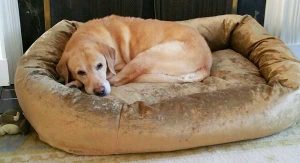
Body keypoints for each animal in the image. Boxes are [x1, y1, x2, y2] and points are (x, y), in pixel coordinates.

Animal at [55, 15, 211, 95]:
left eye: (100, 65)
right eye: (80, 72)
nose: (100, 91)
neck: (86, 36)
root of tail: (207, 63)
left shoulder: (118, 66)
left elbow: (112, 76)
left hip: (144, 57)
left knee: (118, 80)